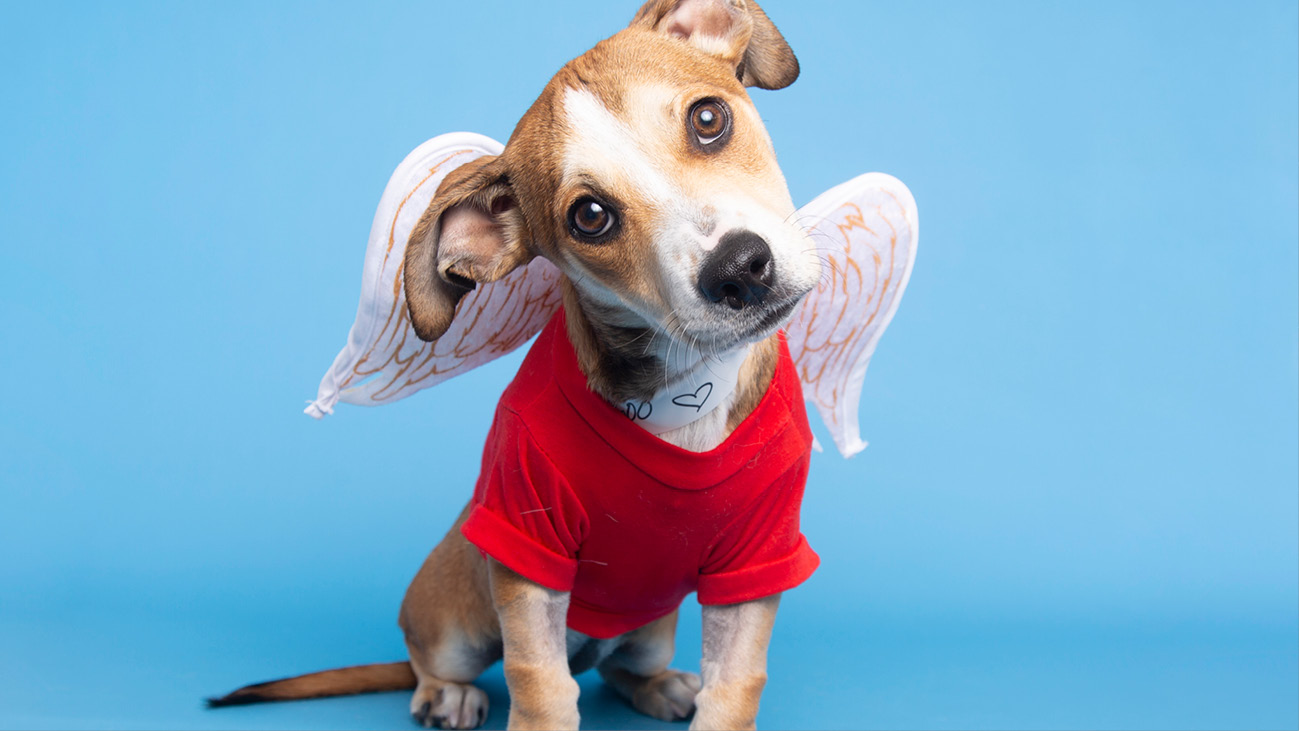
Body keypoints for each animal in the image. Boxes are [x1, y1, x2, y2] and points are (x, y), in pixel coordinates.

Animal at [210, 2, 820, 727]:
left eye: (707, 119)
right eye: (590, 216)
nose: (739, 270)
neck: (685, 390)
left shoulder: (758, 559)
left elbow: (734, 685)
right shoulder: (529, 548)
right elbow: (540, 682)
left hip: (649, 627)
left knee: (619, 666)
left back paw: (661, 684)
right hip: (456, 613)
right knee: (443, 660)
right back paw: (445, 694)